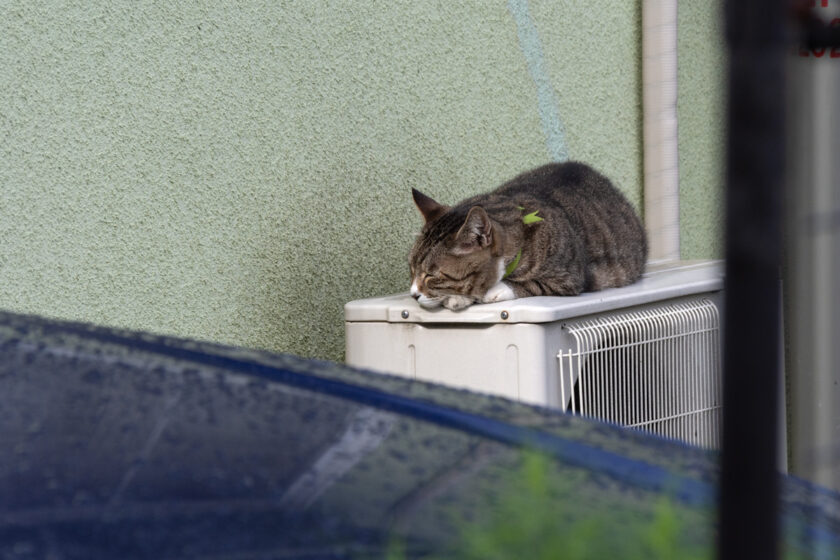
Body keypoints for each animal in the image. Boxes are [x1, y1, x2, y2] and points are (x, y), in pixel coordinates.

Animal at [410, 162, 648, 310]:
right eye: (412, 270)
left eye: (431, 275)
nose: (413, 294)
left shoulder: (568, 279)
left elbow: (531, 284)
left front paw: (488, 292)